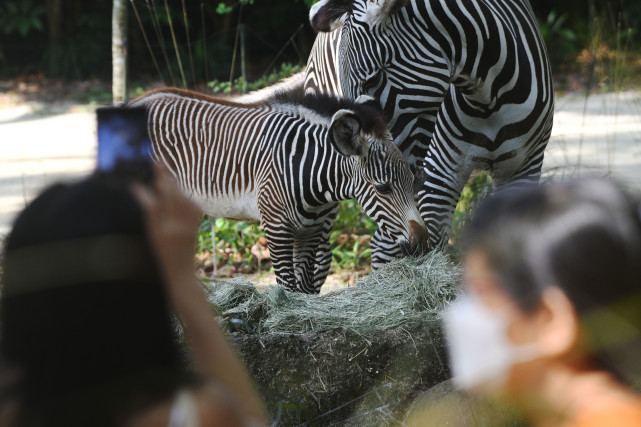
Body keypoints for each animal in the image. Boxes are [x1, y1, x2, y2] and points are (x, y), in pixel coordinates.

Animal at [131, 88, 428, 294]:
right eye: (383, 187)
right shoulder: (276, 228)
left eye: (413, 181)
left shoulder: (310, 231)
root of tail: (135, 102)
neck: (307, 169)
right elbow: (287, 286)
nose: (423, 243)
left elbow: (304, 288)